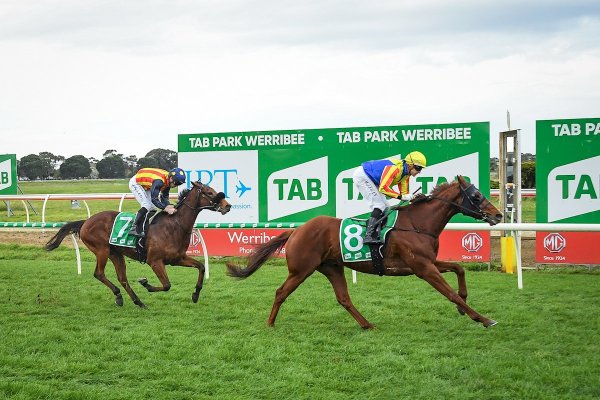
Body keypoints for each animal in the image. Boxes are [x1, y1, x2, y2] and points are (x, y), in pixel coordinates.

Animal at [44, 181, 231, 306]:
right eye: (209, 192)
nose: (227, 206)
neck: (174, 225)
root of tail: (86, 222)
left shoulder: (177, 259)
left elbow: (201, 267)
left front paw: (195, 294)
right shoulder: (154, 261)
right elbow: (167, 285)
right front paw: (145, 284)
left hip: (116, 253)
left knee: (122, 278)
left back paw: (137, 301)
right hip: (102, 250)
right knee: (99, 274)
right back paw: (120, 296)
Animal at [227, 177, 504, 330]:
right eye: (476, 196)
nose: (499, 214)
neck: (417, 223)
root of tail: (296, 231)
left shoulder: (428, 262)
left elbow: (459, 268)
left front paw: (464, 306)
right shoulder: (423, 268)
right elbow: (449, 293)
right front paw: (483, 318)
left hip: (332, 267)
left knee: (343, 298)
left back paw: (366, 324)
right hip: (301, 269)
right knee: (281, 292)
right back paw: (270, 323)